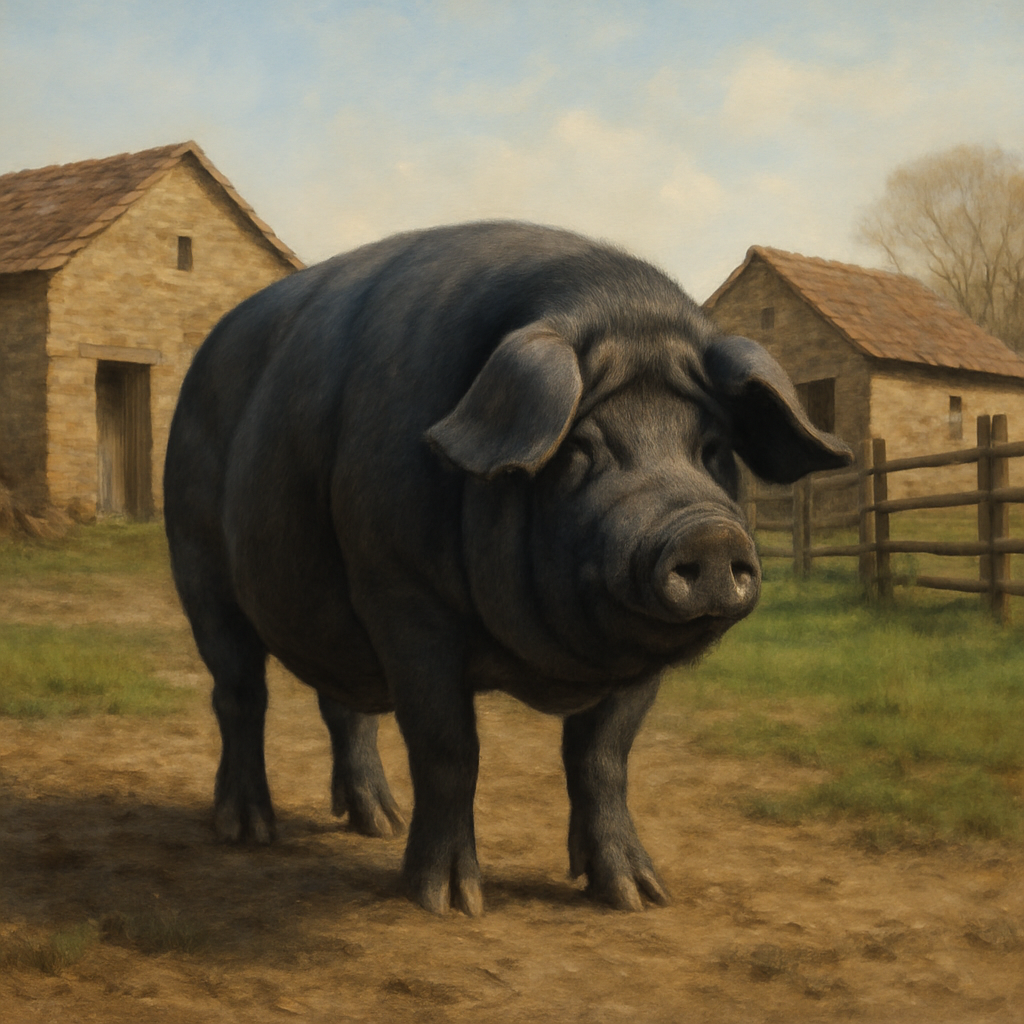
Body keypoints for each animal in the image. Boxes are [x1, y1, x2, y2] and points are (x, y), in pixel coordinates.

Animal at [164, 222, 852, 916]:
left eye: (712, 449)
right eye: (579, 448)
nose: (708, 532)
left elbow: (602, 755)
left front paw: (638, 897)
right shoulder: (401, 593)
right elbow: (448, 747)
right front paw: (449, 902)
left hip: (333, 618)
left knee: (346, 706)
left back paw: (377, 822)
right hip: (199, 566)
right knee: (240, 692)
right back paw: (249, 831)